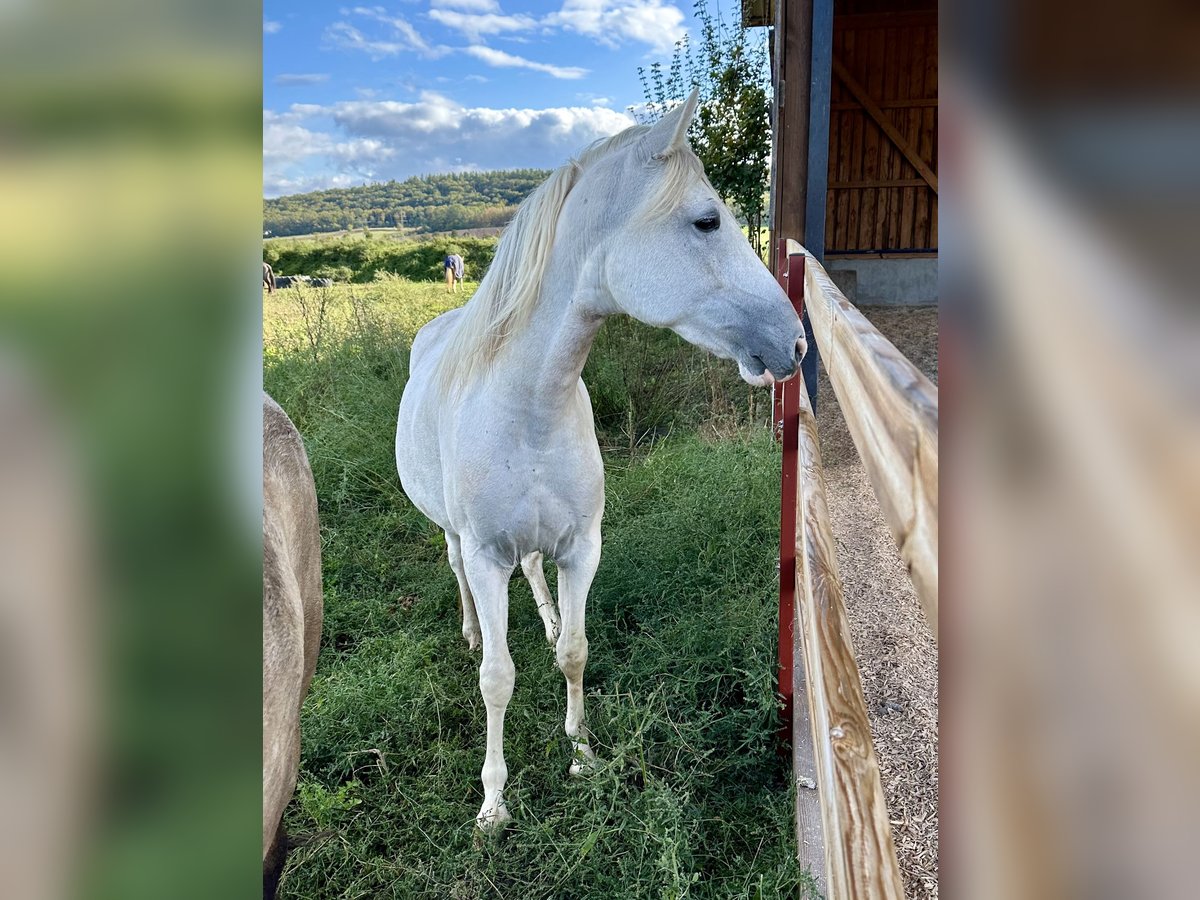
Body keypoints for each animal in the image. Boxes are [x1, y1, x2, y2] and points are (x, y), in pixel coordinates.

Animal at [396, 91, 806, 830]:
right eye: (707, 220)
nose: (794, 342)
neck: (529, 407)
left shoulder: (581, 548)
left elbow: (574, 653)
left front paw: (583, 753)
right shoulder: (488, 556)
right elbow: (496, 678)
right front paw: (493, 802)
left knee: (536, 578)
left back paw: (548, 617)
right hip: (453, 536)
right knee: (458, 575)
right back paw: (470, 630)